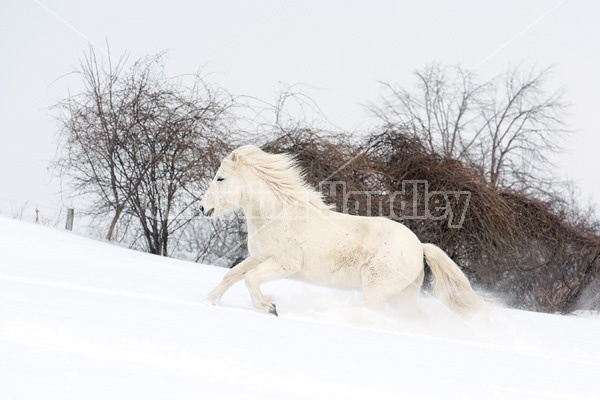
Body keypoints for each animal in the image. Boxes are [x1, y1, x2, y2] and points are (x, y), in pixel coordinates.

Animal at [200, 145, 482, 318]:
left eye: (221, 178)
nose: (203, 208)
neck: (279, 214)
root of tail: (419, 246)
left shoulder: (284, 264)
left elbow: (250, 279)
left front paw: (269, 307)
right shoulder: (259, 258)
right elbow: (232, 275)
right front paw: (209, 300)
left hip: (376, 292)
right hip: (403, 296)